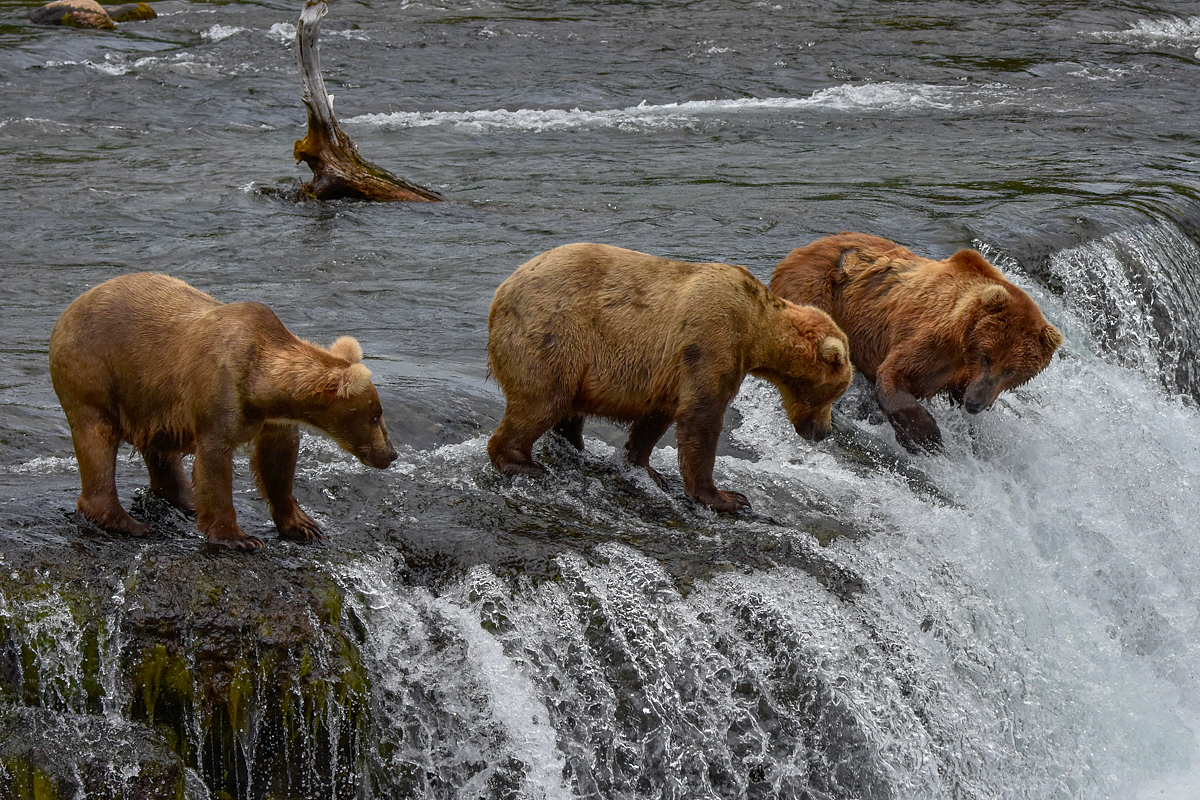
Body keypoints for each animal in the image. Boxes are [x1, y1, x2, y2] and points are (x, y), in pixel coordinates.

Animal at [48, 275, 398, 551]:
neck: (261, 388)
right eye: (375, 415)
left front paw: (304, 525)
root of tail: (69, 308)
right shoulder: (219, 392)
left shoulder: (273, 420)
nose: (391, 453)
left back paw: (187, 499)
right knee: (97, 437)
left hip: (149, 397)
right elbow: (215, 461)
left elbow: (278, 462)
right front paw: (239, 538)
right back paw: (127, 522)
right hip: (94, 370)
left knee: (159, 449)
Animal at [482, 241, 849, 513]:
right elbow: (701, 419)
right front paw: (728, 498)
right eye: (835, 392)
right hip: (554, 336)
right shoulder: (710, 342)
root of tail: (500, 293)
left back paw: (575, 449)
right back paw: (524, 464)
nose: (823, 431)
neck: (754, 331)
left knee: (566, 412)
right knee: (541, 402)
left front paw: (646, 468)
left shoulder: (669, 372)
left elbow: (655, 419)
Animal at [768, 235, 1060, 453]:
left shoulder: (961, 375)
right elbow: (895, 374)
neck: (963, 340)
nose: (976, 404)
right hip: (816, 293)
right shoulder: (932, 338)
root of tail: (798, 251)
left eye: (1011, 370)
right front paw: (926, 436)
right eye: (987, 356)